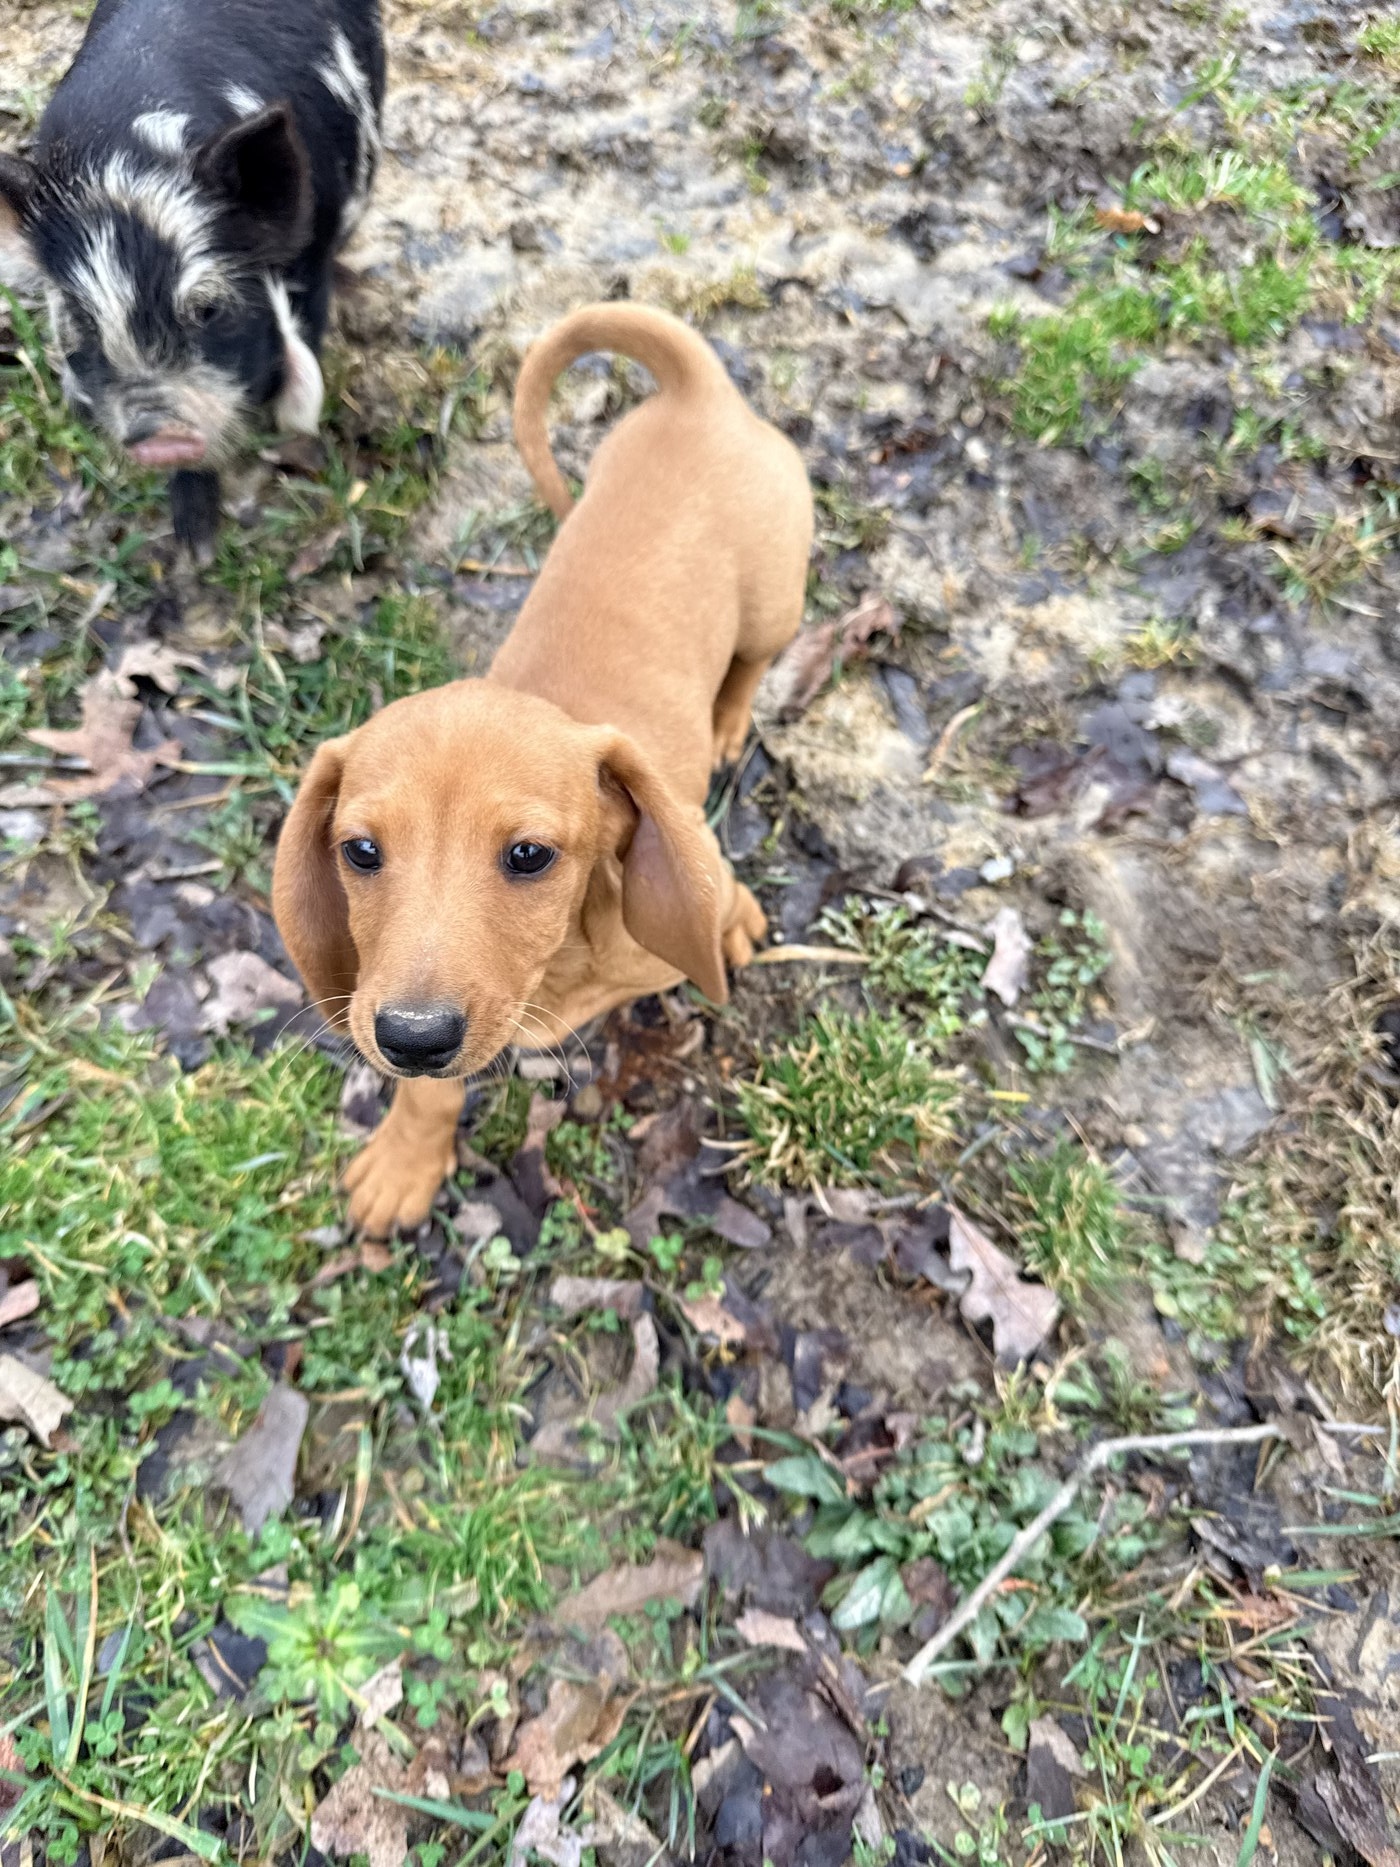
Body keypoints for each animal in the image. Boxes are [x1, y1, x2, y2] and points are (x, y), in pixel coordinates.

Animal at [0, 0, 384, 559]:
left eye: (208, 310)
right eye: (81, 322)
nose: (158, 432)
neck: (127, 164)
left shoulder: (311, 255)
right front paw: (195, 551)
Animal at [273, 302, 813, 1237]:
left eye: (530, 855)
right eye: (360, 851)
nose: (412, 1037)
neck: (562, 961)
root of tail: (698, 393)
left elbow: (719, 884)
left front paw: (733, 919)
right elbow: (432, 1094)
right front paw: (409, 1157)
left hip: (776, 600)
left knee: (752, 660)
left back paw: (729, 720)